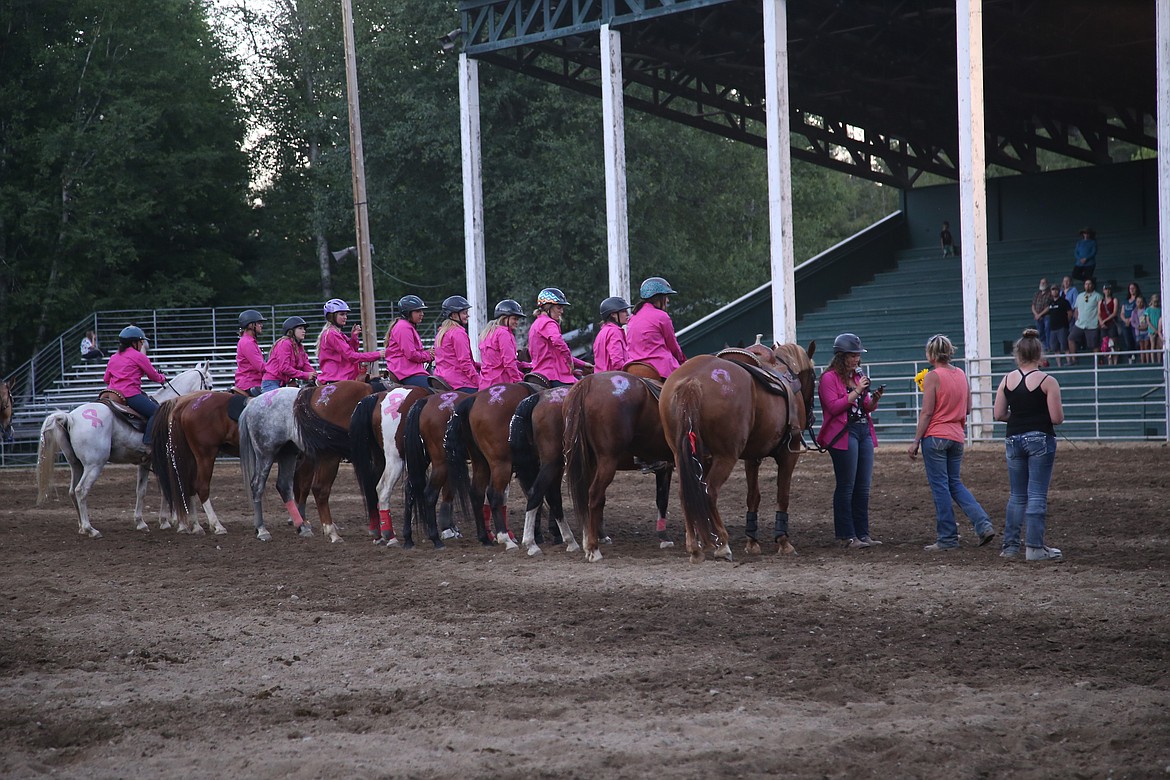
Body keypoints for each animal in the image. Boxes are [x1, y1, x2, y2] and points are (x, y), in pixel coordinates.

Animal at [35, 362, 215, 540]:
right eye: (210, 385)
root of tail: (71, 417)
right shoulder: (167, 459)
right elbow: (168, 487)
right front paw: (175, 522)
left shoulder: (147, 462)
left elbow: (142, 491)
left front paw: (145, 522)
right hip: (94, 464)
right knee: (81, 490)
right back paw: (90, 529)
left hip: (76, 464)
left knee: (72, 491)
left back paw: (81, 527)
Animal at [148, 390, 249, 537]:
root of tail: (184, 405)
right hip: (205, 455)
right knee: (201, 486)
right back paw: (216, 525)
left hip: (191, 457)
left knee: (188, 486)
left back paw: (195, 526)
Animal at [442, 383, 542, 551]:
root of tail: (475, 399)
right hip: (501, 463)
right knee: (494, 494)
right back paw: (505, 538)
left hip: (480, 462)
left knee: (477, 493)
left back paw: (484, 537)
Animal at [659, 341, 814, 561]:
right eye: (814, 378)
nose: (811, 417)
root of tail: (692, 381)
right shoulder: (787, 455)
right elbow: (782, 496)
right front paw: (784, 542)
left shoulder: (752, 457)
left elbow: (753, 496)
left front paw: (752, 541)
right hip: (725, 456)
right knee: (709, 491)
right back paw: (722, 544)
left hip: (682, 455)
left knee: (686, 493)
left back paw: (695, 547)